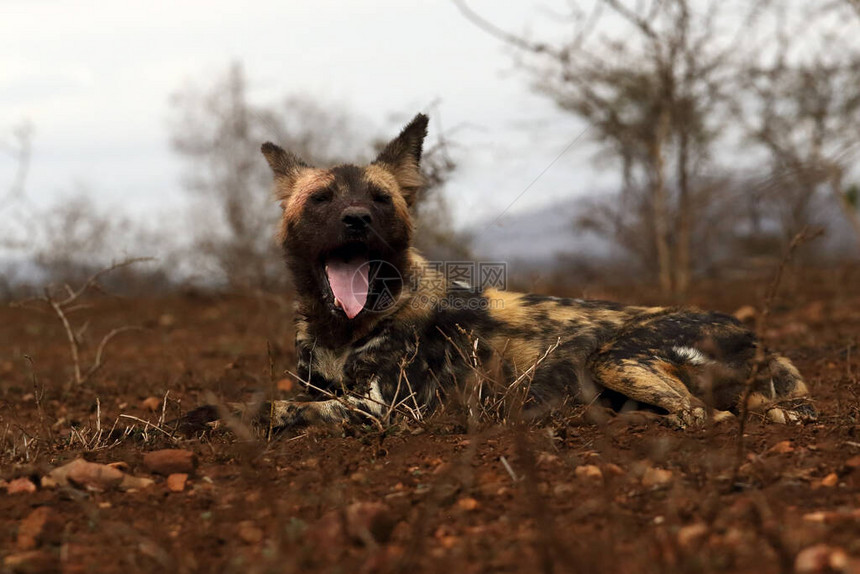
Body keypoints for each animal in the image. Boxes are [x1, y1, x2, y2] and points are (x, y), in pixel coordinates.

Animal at [180, 115, 812, 434]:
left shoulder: (383, 410)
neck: (344, 329)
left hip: (615, 358)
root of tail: (759, 338)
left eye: (380, 199)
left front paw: (206, 417)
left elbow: (275, 408)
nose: (357, 219)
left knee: (704, 415)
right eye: (322, 200)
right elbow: (287, 399)